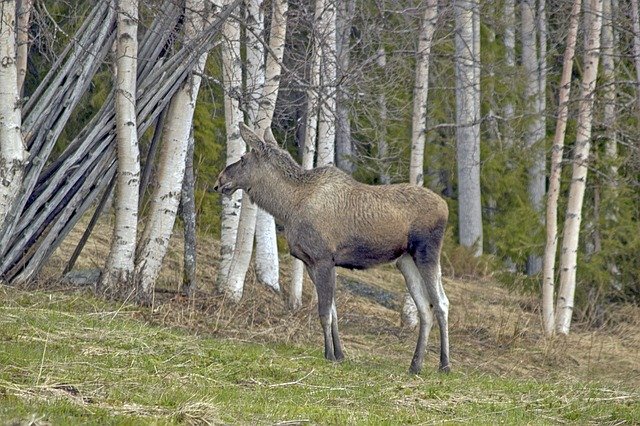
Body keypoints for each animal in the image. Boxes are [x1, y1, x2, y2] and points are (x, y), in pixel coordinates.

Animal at [215, 123, 450, 372]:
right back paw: (415, 365)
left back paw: (444, 364)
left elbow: (325, 312)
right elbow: (334, 312)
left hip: (427, 253)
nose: (219, 180)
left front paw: (328, 354)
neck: (287, 207)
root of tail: (445, 207)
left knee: (441, 303)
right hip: (405, 261)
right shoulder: (310, 262)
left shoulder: (323, 258)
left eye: (242, 158)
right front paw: (339, 354)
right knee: (425, 308)